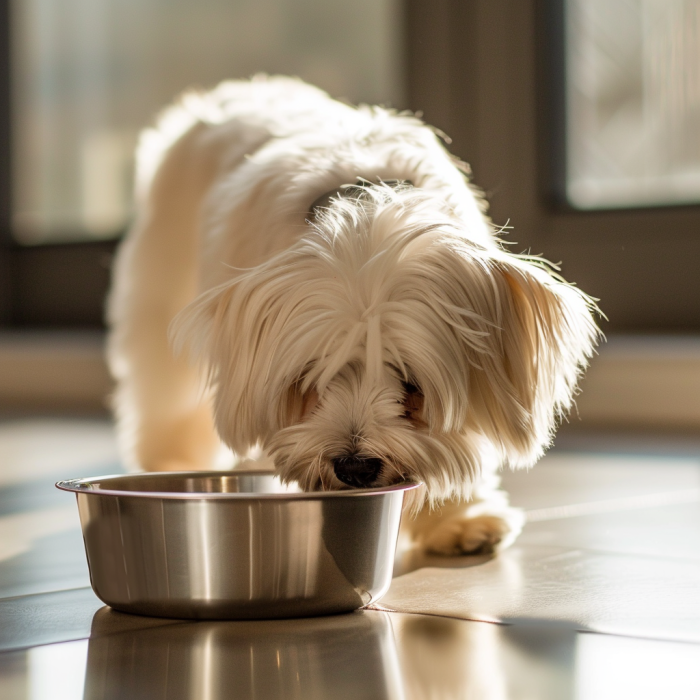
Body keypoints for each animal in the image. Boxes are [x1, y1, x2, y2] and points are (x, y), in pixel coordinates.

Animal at [108, 76, 596, 556]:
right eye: (310, 379)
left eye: (412, 384)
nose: (354, 466)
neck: (366, 214)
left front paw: (458, 516)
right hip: (160, 288)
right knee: (162, 393)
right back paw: (167, 461)